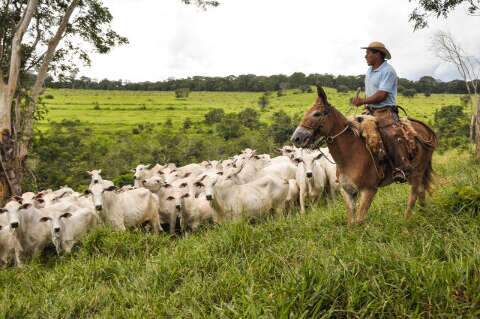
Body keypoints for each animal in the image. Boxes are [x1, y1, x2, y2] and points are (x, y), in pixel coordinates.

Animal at [290, 85, 436, 225]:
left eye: (317, 113)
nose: (296, 138)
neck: (351, 153)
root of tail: (423, 129)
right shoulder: (347, 191)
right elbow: (351, 221)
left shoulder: (369, 190)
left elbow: (360, 220)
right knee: (421, 191)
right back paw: (424, 214)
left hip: (417, 172)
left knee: (413, 196)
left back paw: (406, 222)